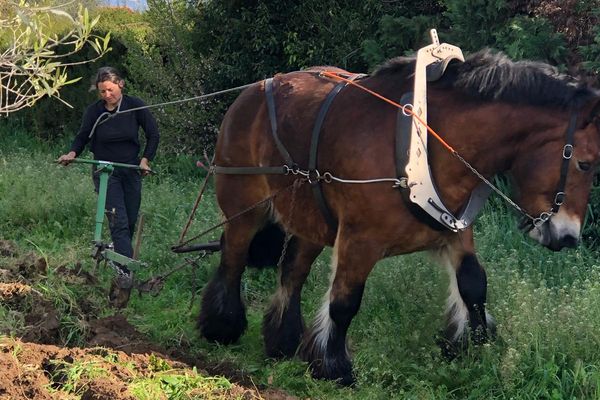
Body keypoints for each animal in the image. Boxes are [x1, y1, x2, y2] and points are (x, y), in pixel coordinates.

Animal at [197, 50, 600, 384]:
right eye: (585, 163)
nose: (569, 237)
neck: (423, 143)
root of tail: (249, 94)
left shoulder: (454, 230)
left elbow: (474, 284)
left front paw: (470, 345)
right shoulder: (359, 240)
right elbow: (344, 303)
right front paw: (333, 366)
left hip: (310, 221)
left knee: (292, 273)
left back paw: (282, 340)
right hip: (244, 209)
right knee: (233, 258)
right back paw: (221, 327)